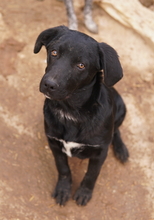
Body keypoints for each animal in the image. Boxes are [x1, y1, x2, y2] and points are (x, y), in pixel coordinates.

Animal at [33, 0, 129, 206]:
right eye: (54, 52)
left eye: (81, 66)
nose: (48, 84)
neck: (71, 112)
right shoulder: (54, 144)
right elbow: (63, 169)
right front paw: (63, 189)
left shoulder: (100, 152)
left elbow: (91, 175)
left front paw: (84, 192)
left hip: (122, 108)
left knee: (116, 131)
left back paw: (121, 149)